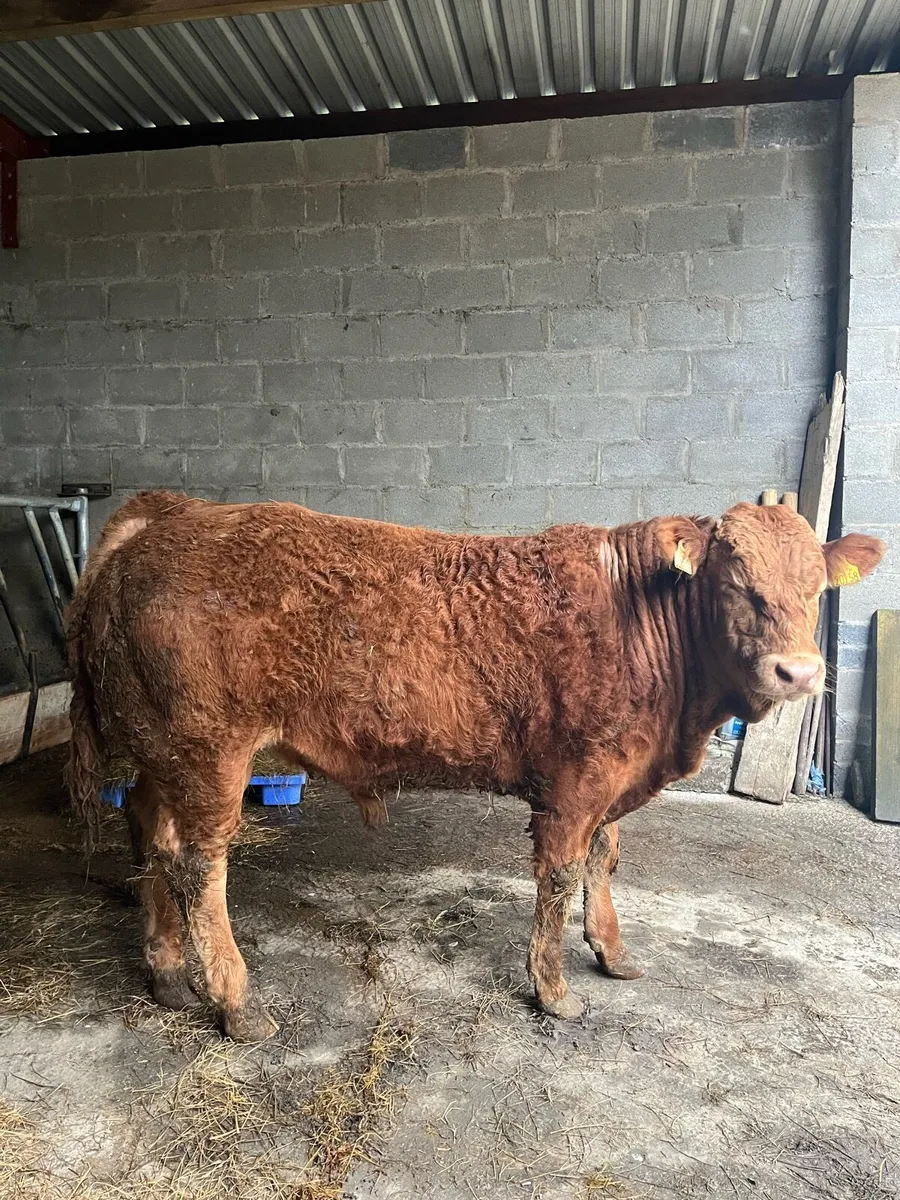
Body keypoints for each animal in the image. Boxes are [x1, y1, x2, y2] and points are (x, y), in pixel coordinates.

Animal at [66, 491, 883, 1041]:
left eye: (817, 587)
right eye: (735, 580)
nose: (799, 672)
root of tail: (169, 517)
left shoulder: (613, 778)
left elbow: (605, 858)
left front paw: (612, 953)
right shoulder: (575, 781)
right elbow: (561, 876)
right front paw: (553, 990)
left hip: (165, 756)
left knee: (149, 832)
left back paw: (168, 975)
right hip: (209, 756)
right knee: (197, 865)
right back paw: (238, 1004)